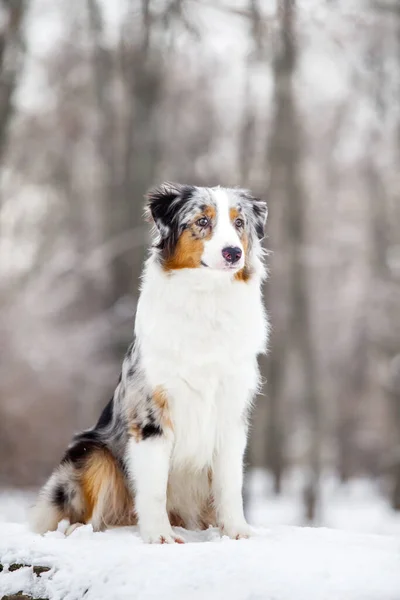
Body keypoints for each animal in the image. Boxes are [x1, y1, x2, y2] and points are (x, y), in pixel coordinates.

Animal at [30, 183, 268, 544]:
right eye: (202, 221)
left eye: (239, 223)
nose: (233, 253)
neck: (207, 300)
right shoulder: (150, 415)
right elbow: (154, 486)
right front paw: (160, 536)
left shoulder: (231, 414)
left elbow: (230, 484)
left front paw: (237, 531)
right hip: (91, 452)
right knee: (83, 513)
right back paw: (75, 530)